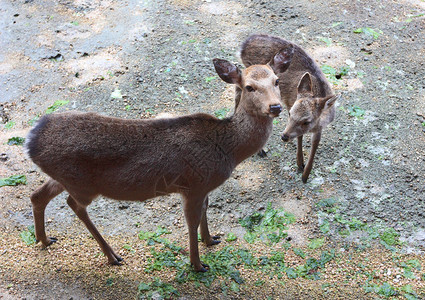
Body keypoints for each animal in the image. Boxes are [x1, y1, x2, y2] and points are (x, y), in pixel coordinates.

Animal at [25, 49, 292, 272]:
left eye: (277, 81)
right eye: (249, 87)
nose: (275, 107)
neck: (229, 151)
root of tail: (30, 142)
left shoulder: (204, 186)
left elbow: (206, 209)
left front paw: (211, 239)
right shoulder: (193, 184)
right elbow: (191, 220)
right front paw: (197, 264)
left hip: (64, 177)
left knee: (38, 194)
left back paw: (44, 239)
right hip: (82, 185)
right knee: (74, 204)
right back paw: (112, 255)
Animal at [235, 33, 338, 183]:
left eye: (307, 121)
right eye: (290, 113)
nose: (284, 136)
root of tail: (243, 46)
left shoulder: (320, 127)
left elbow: (315, 144)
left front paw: (305, 174)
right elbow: (300, 137)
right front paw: (300, 165)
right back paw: (259, 149)